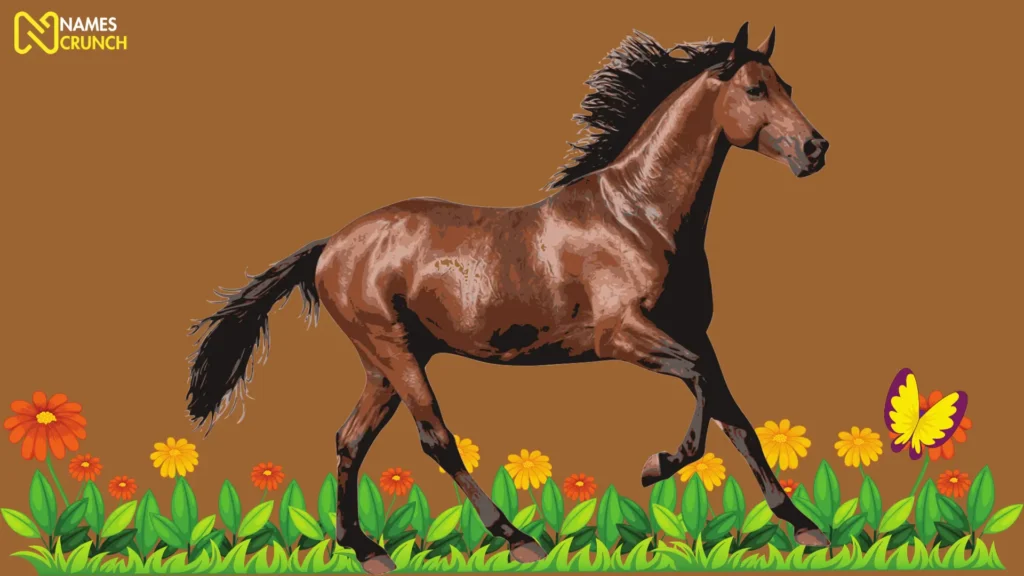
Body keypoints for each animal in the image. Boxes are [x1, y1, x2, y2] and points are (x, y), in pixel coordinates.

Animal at [184, 22, 831, 574]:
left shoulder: (695, 333)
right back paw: (517, 538)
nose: (815, 148)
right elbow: (699, 386)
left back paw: (365, 548)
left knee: (350, 440)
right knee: (436, 439)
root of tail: (330, 246)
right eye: (754, 88)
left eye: (788, 86)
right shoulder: (623, 334)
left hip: (381, 366)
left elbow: (736, 419)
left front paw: (804, 526)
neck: (639, 217)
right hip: (396, 352)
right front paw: (656, 466)